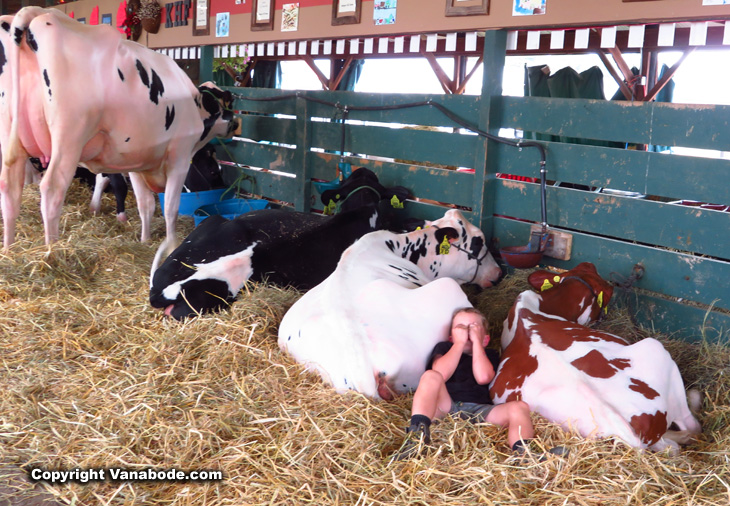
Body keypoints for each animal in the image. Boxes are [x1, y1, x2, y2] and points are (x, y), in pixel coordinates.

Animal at [0, 7, 240, 281]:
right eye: (227, 101)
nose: (236, 123)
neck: (195, 104)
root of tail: (40, 12)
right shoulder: (179, 157)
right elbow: (170, 207)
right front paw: (171, 245)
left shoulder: (137, 162)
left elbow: (146, 204)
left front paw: (145, 240)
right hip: (68, 139)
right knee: (51, 190)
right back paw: (53, 252)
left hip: (11, 139)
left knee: (9, 189)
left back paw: (10, 251)